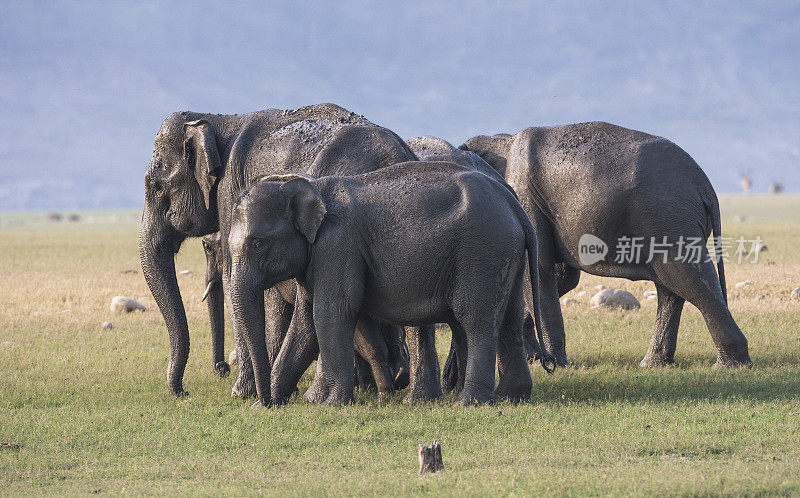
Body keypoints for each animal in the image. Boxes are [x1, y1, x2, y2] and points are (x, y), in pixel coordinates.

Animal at [139, 103, 418, 398]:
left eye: (157, 187)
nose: (183, 392)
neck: (216, 119)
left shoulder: (230, 192)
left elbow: (234, 279)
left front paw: (243, 392)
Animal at [225, 161, 552, 406]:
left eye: (257, 244)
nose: (265, 402)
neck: (310, 185)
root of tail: (513, 203)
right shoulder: (316, 258)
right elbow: (304, 324)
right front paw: (283, 405)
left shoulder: (337, 244)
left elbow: (330, 313)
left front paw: (330, 405)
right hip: (505, 254)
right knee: (509, 317)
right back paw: (513, 398)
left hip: (482, 251)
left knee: (476, 319)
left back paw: (469, 402)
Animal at [456, 120, 752, 370]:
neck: (500, 139)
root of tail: (706, 188)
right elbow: (562, 278)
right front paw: (533, 357)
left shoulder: (526, 197)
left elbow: (538, 271)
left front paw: (553, 364)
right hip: (669, 220)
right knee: (671, 288)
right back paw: (653, 364)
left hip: (668, 219)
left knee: (685, 277)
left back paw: (729, 365)